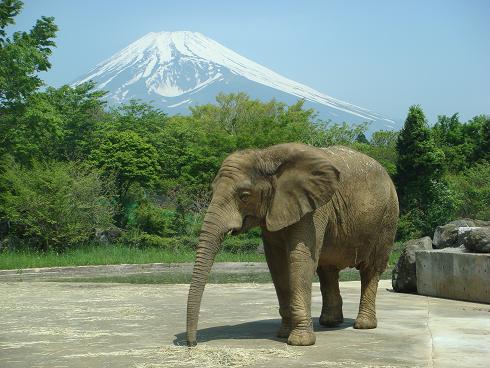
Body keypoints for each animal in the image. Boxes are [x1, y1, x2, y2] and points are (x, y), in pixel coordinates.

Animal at [187, 142, 398, 346]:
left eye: (244, 195)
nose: (192, 343)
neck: (266, 156)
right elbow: (277, 263)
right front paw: (283, 334)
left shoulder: (314, 209)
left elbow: (300, 258)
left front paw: (300, 341)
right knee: (327, 270)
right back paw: (330, 322)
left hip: (388, 217)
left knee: (371, 269)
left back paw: (363, 325)